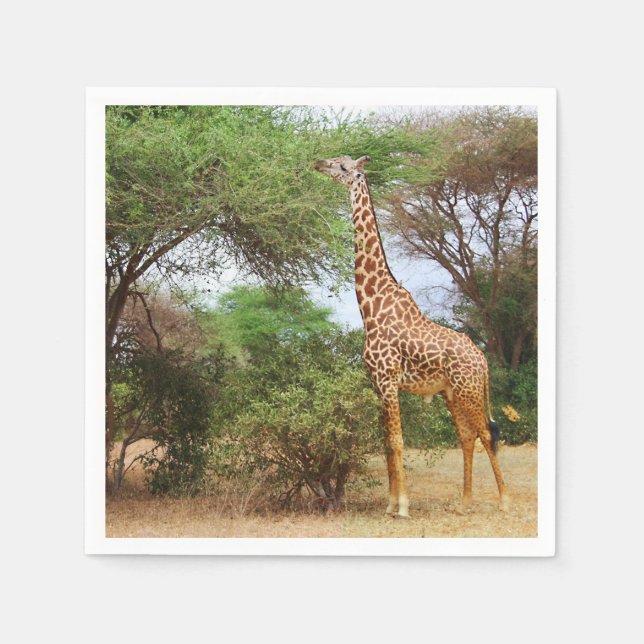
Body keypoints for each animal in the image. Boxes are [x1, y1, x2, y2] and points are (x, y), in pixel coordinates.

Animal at [314, 154, 508, 518]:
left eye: (343, 167)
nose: (318, 163)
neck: (371, 305)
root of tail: (483, 359)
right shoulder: (377, 383)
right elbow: (386, 444)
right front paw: (390, 504)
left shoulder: (389, 380)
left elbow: (398, 441)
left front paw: (403, 506)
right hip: (452, 393)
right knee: (467, 436)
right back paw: (464, 502)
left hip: (469, 390)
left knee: (487, 434)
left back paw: (504, 500)